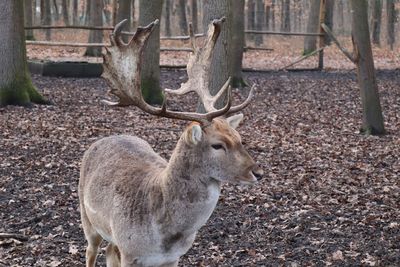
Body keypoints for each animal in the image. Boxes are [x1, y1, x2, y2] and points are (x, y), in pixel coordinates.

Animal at [79, 17, 264, 267]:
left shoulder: (174, 257)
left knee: (109, 250)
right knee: (91, 251)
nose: (257, 172)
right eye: (217, 145)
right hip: (87, 217)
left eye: (240, 139)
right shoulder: (129, 252)